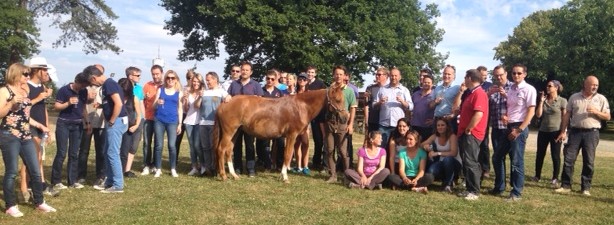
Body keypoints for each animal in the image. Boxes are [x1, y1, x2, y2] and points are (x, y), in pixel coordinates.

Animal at [213, 85, 346, 182]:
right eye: (338, 100)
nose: (345, 118)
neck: (301, 106)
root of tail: (224, 103)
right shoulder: (291, 135)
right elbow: (287, 154)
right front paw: (285, 177)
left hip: (236, 132)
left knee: (228, 150)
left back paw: (234, 175)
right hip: (229, 132)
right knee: (221, 149)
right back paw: (224, 176)